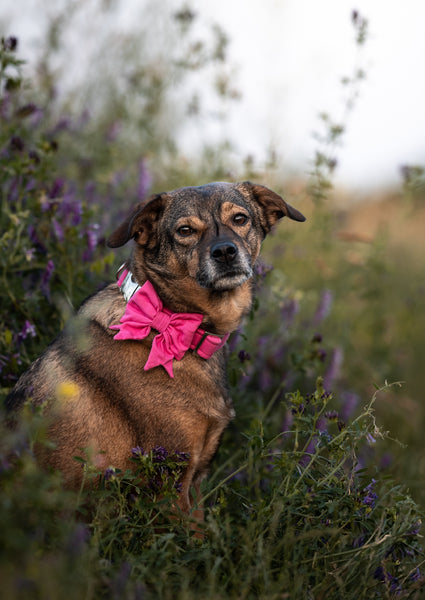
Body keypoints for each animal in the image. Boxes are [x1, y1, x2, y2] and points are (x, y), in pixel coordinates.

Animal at [4, 182, 304, 516]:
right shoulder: (170, 481)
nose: (225, 251)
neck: (168, 319)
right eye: (185, 230)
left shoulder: (195, 479)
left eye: (240, 219)